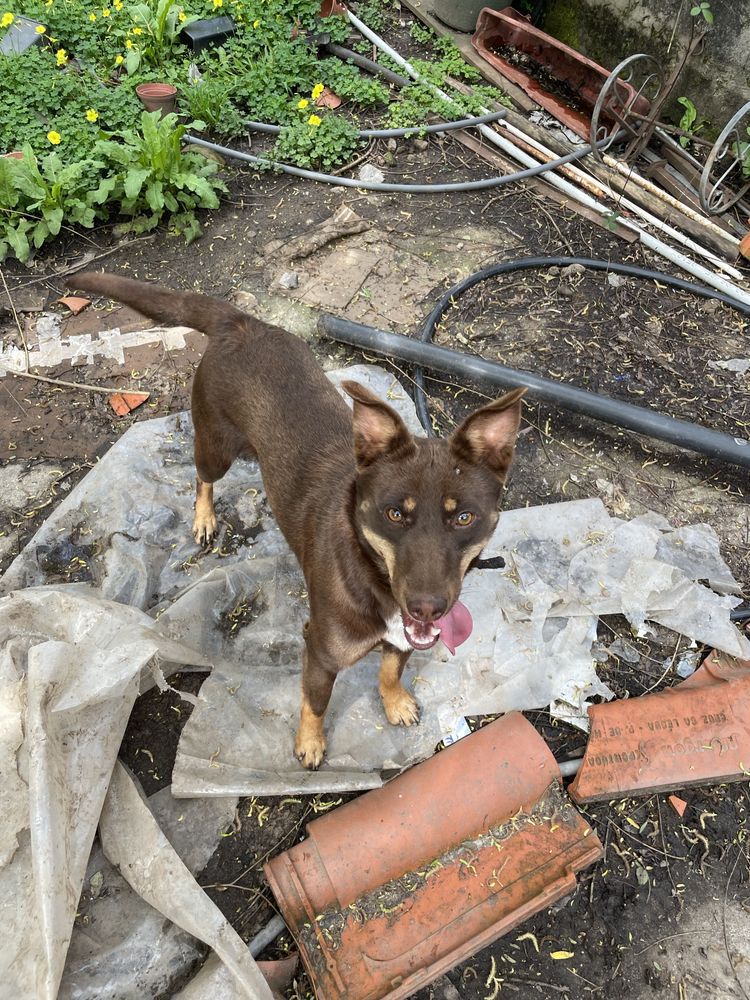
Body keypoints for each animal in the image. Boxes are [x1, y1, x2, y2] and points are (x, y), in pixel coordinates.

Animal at [69, 272, 528, 764]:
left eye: (464, 517)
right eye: (393, 513)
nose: (427, 607)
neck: (372, 575)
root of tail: (241, 321)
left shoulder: (405, 637)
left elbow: (390, 670)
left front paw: (394, 701)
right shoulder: (321, 651)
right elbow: (316, 701)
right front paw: (309, 742)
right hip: (215, 443)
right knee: (201, 477)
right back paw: (204, 516)